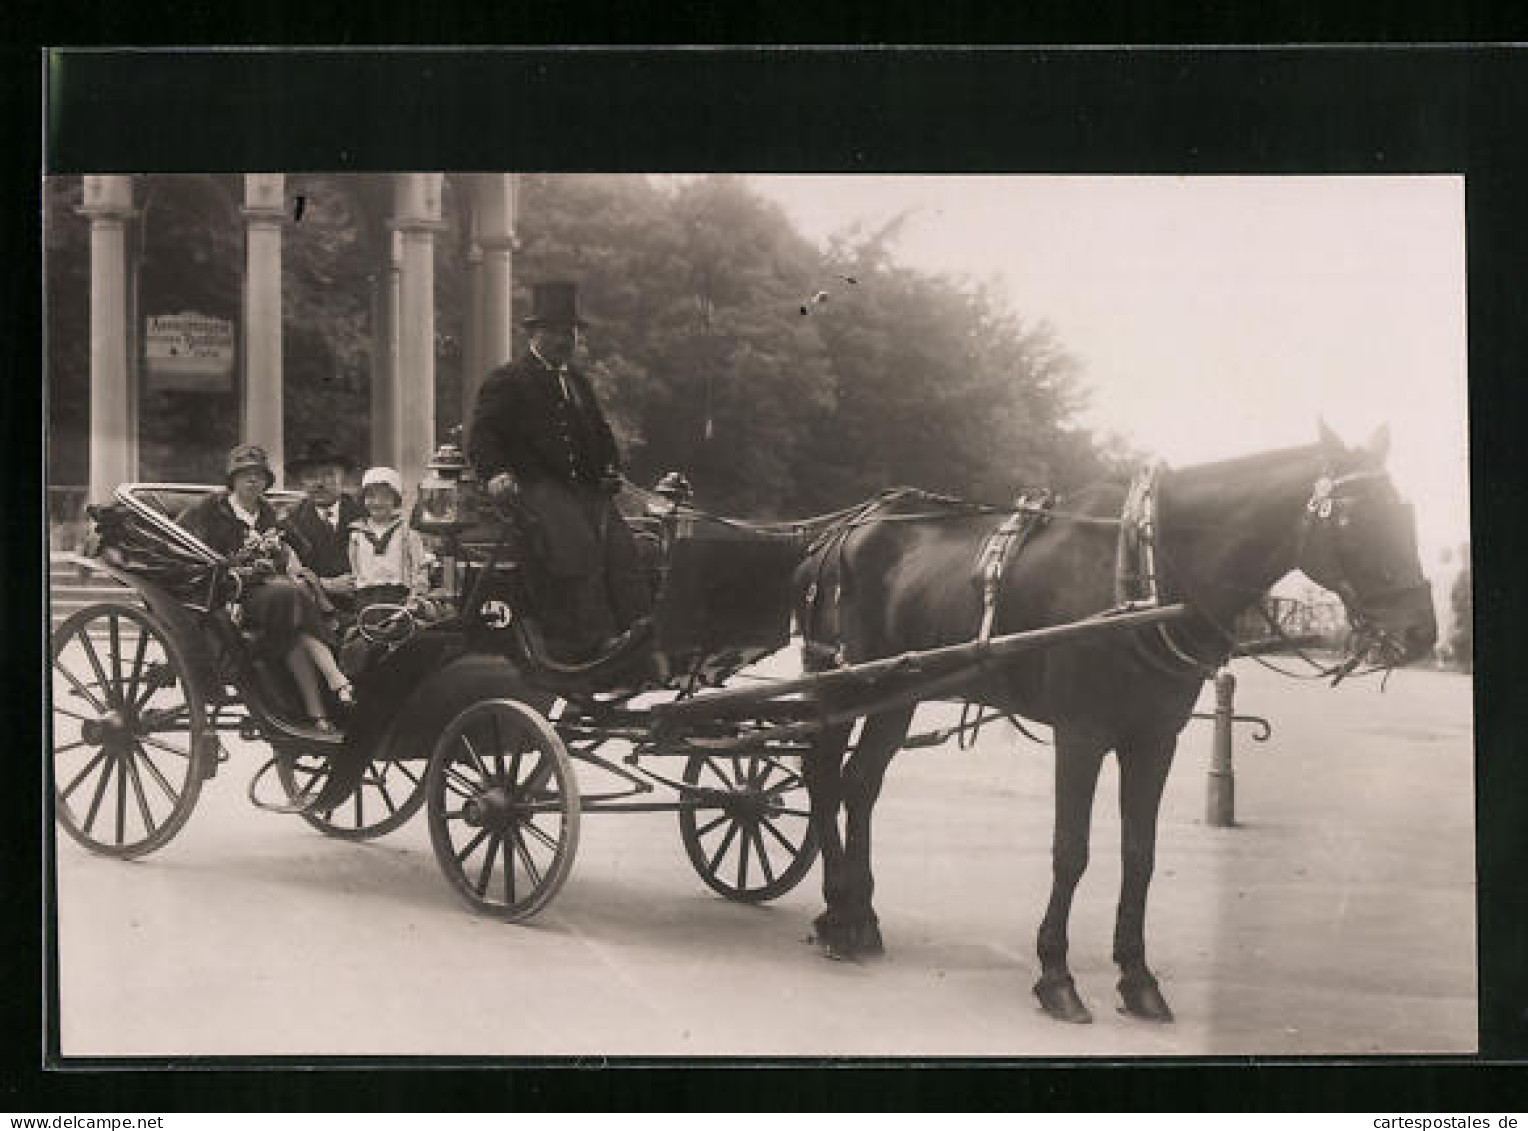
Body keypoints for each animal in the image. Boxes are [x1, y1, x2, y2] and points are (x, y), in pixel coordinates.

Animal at [794, 424, 1436, 1027]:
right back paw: (836, 913)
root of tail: (844, 530)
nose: (1421, 632)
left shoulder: (1153, 740)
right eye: (1354, 517)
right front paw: (1056, 975)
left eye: (1405, 512)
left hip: (895, 695)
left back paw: (861, 917)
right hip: (842, 684)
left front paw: (1137, 977)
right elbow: (1070, 852)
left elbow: (1139, 855)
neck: (1140, 574)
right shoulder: (1081, 735)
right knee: (824, 774)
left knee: (861, 784)